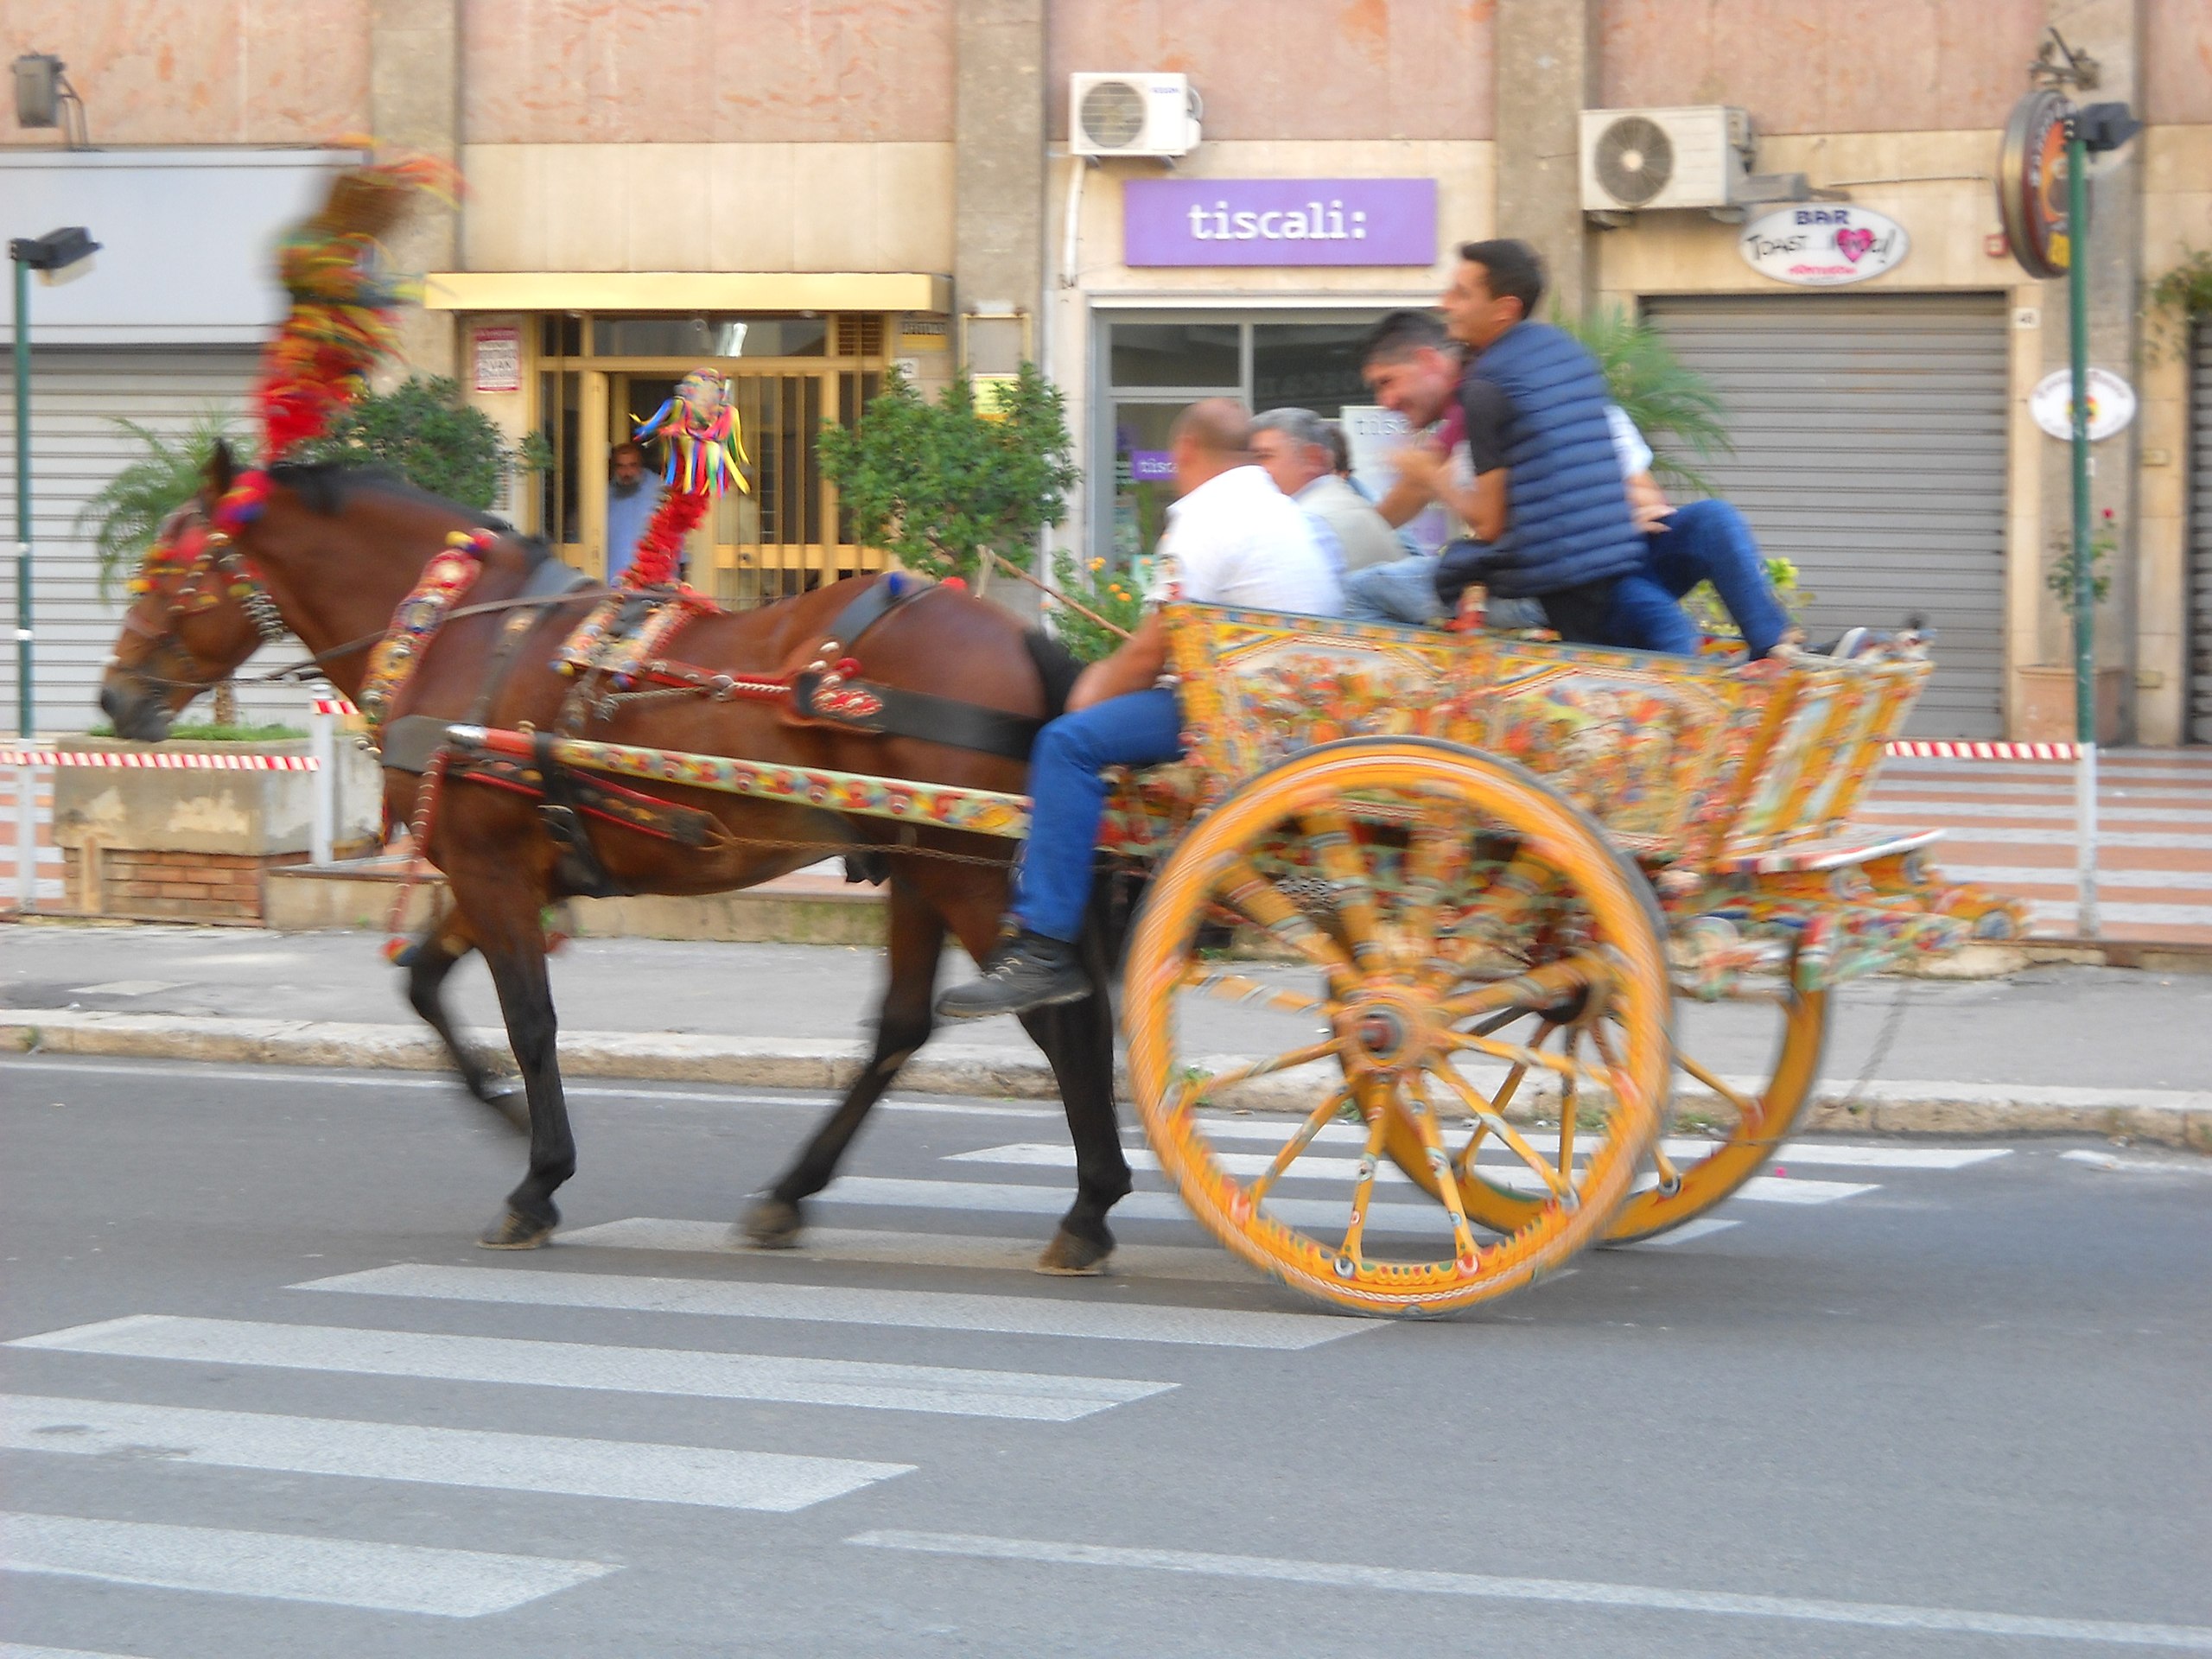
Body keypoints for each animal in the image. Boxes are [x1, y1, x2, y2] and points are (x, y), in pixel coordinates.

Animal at [99, 448, 1123, 1265]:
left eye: (162, 568)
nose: (113, 699)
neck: (460, 626)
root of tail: (1015, 638)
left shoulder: (491, 869)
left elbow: (530, 1019)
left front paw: (538, 1178)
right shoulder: (488, 869)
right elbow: (423, 986)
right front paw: (506, 1111)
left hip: (962, 868)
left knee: (1057, 1014)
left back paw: (1090, 1205)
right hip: (917, 864)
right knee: (907, 1028)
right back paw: (797, 1194)